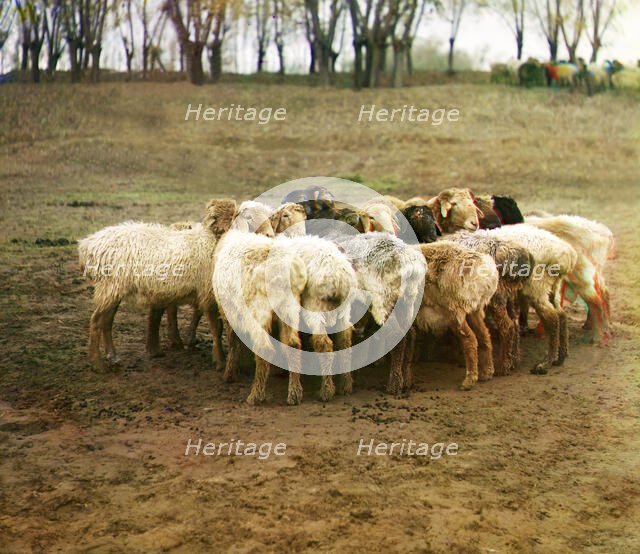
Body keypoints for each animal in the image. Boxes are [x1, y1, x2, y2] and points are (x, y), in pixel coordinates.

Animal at [79, 199, 237, 368]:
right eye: (216, 217)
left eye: (235, 216)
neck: (209, 240)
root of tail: (88, 245)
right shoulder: (208, 294)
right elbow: (216, 328)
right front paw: (220, 361)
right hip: (110, 286)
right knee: (96, 321)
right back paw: (97, 363)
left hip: (113, 289)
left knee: (106, 321)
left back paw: (113, 356)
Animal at [486, 224, 578, 373]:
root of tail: (566, 254)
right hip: (553, 286)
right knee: (561, 315)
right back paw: (561, 357)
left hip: (536, 286)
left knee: (552, 318)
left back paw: (545, 364)